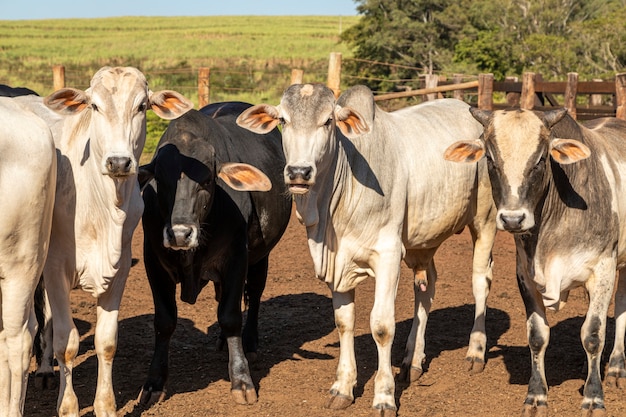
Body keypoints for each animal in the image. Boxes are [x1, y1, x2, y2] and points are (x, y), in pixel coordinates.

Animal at [11, 66, 193, 414]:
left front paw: (105, 405)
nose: (119, 162)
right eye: (94, 106)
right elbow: (66, 343)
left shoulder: (119, 269)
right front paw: (68, 407)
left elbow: (106, 341)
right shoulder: (55, 268)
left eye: (142, 106)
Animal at [138, 101, 292, 406]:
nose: (180, 234)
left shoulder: (237, 256)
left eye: (208, 179)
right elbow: (164, 321)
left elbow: (231, 316)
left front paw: (241, 380)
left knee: (254, 295)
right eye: (160, 179)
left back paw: (249, 341)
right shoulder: (153, 261)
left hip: (261, 256)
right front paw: (154, 383)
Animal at [236, 83, 494, 412]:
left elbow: (382, 326)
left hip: (484, 219)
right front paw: (343, 387)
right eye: (283, 120)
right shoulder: (339, 264)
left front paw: (384, 396)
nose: (298, 172)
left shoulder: (388, 254)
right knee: (426, 288)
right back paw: (412, 360)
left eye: (328, 121)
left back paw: (475, 352)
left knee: (480, 281)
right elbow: (344, 322)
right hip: (423, 239)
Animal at [444, 108, 626, 416]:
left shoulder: (603, 268)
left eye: (541, 159)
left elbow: (593, 334)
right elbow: (538, 336)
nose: (512, 219)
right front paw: (536, 395)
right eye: (490, 158)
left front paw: (593, 397)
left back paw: (615, 367)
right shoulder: (525, 275)